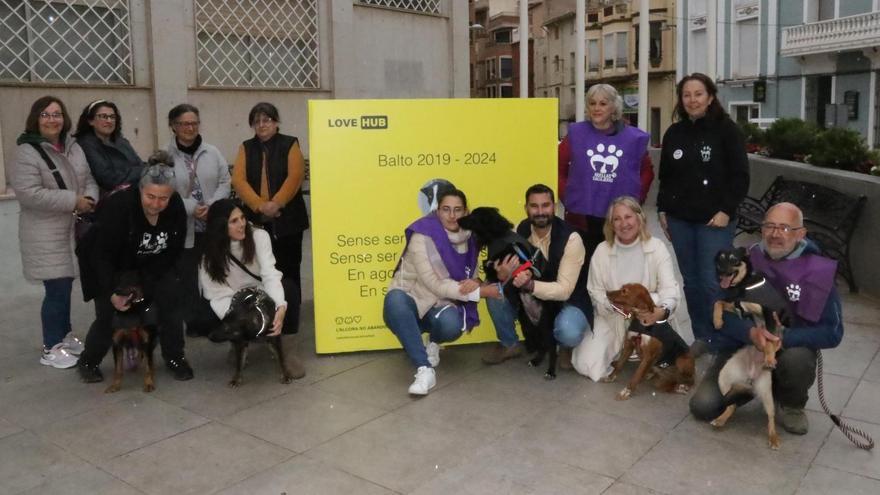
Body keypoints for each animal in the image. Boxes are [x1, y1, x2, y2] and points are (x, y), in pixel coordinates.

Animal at [458, 205, 560, 380]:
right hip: (528, 325)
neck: (498, 235)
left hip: (546, 323)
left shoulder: (513, 256)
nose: (458, 220)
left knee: (552, 347)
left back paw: (550, 371)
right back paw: (536, 360)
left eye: (472, 216)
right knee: (542, 346)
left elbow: (492, 265)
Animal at [712, 248, 788, 450]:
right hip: (724, 378)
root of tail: (751, 378)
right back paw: (720, 419)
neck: (745, 285)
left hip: (768, 393)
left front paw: (769, 357)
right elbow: (718, 302)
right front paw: (717, 320)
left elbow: (769, 340)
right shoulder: (737, 305)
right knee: (731, 405)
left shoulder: (770, 314)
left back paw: (773, 438)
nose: (721, 272)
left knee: (771, 418)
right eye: (720, 260)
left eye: (734, 260)